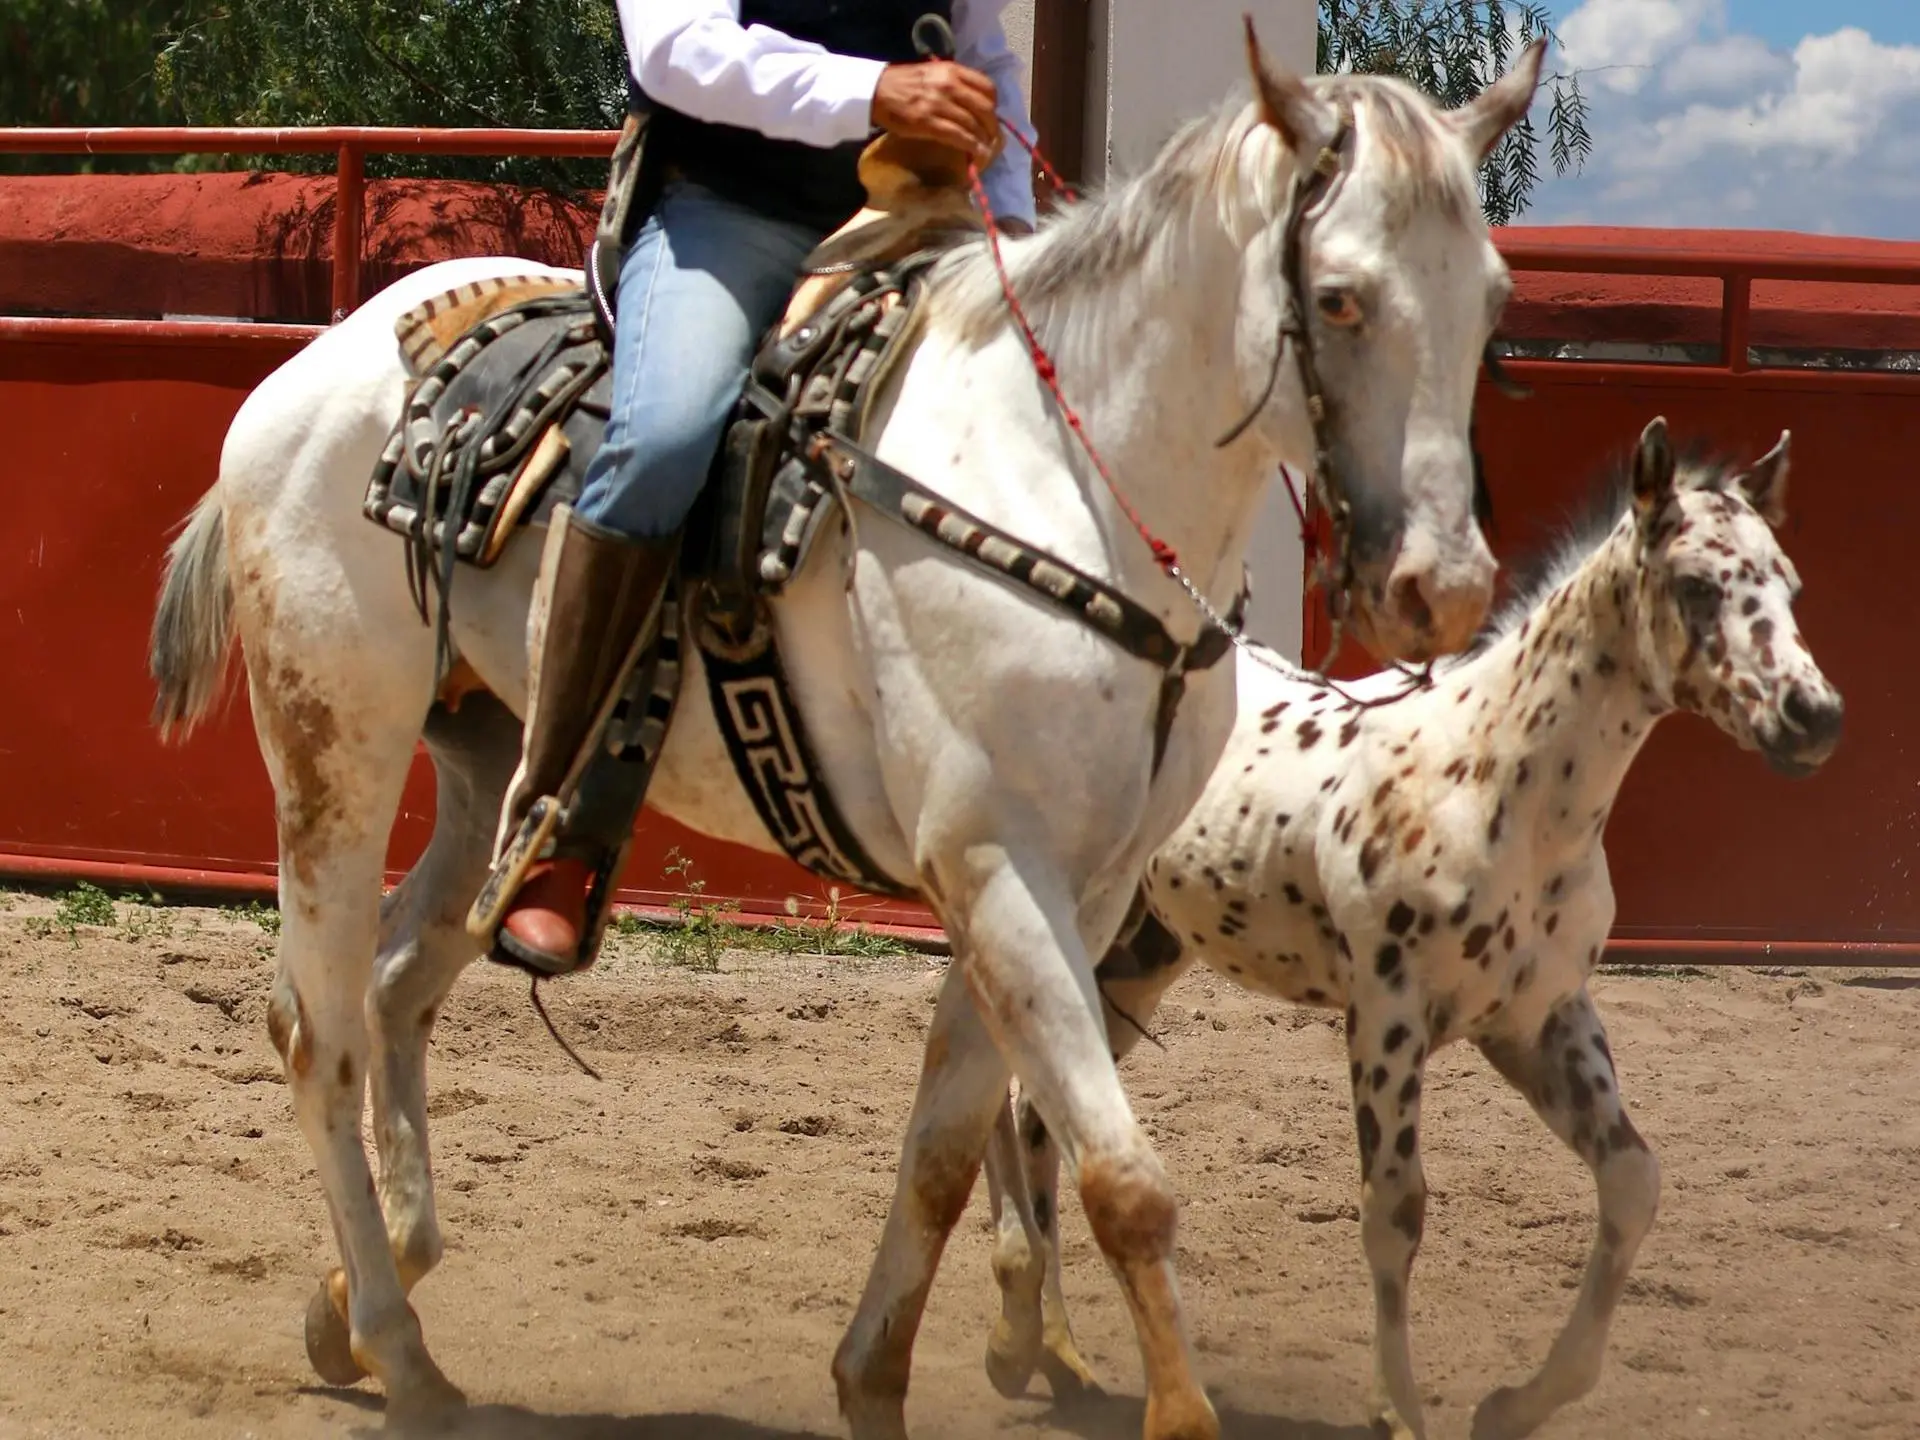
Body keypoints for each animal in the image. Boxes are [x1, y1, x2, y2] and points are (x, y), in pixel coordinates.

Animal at [145, 28, 1543, 1436]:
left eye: (1491, 302)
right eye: (1344, 297)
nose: (1443, 587)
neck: (1068, 484)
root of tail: (313, 367)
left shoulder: (1079, 890)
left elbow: (945, 1145)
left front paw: (873, 1379)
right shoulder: (998, 865)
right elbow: (1122, 1181)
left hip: (488, 762)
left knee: (395, 986)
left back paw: (364, 1309)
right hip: (335, 746)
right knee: (317, 1026)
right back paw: (399, 1344)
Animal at [983, 420, 1850, 1440]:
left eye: (1790, 584)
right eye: (1698, 585)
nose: (1813, 716)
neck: (1492, 785)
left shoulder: (1537, 1018)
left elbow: (1633, 1181)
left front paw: (1514, 1404)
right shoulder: (1386, 1017)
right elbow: (1394, 1212)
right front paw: (1396, 1410)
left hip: (1140, 959)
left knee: (1037, 1117)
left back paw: (1056, 1354)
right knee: (1009, 1101)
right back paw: (1020, 1339)